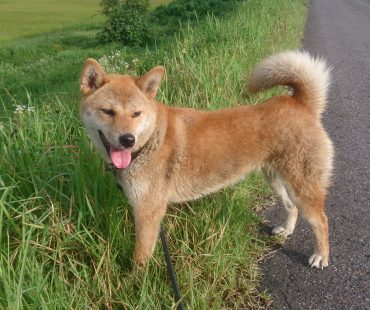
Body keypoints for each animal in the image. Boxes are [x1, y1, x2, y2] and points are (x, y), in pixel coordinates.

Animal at [79, 50, 334, 268]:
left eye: (136, 114)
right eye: (108, 111)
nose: (127, 140)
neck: (150, 141)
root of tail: (301, 104)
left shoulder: (148, 211)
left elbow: (140, 257)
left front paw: (136, 283)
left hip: (302, 186)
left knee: (321, 220)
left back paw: (320, 256)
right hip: (276, 180)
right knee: (292, 207)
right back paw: (286, 230)